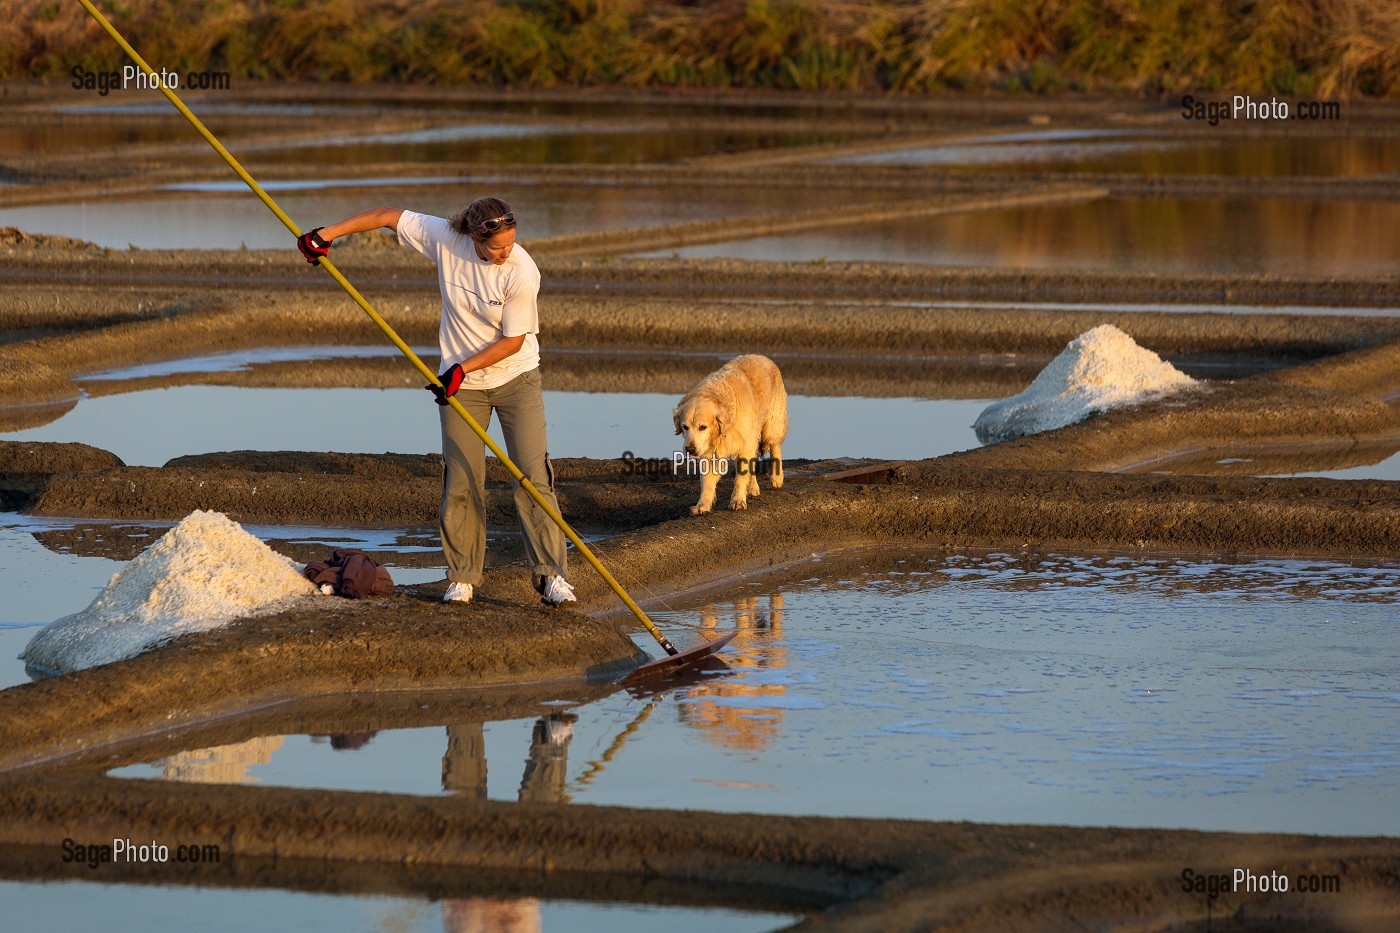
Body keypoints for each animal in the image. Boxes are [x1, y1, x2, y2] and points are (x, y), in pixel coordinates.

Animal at [674, 353, 789, 512]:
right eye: (685, 427)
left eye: (703, 427)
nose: (690, 449)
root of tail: (762, 356)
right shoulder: (711, 451)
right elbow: (707, 480)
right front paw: (702, 505)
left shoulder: (746, 443)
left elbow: (740, 477)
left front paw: (737, 501)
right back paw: (752, 488)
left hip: (772, 424)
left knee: (775, 446)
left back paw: (777, 478)